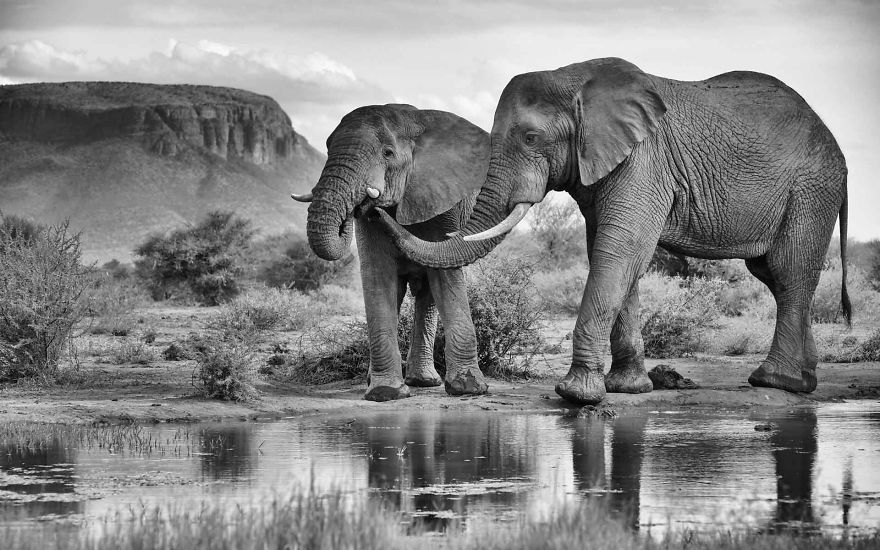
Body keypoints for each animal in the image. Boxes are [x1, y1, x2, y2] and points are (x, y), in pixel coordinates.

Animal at [291, 104, 490, 401]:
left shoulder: (444, 203)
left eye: (388, 153)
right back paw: (382, 380)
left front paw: (469, 389)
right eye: (326, 147)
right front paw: (386, 392)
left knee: (429, 290)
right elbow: (378, 276)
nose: (368, 206)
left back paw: (424, 382)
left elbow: (446, 278)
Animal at [377, 57, 850, 405]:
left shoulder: (645, 159)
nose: (375, 201)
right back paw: (804, 380)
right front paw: (629, 389)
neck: (574, 79)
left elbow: (619, 250)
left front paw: (577, 395)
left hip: (812, 188)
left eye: (531, 138)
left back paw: (774, 381)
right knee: (772, 274)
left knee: (789, 272)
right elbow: (616, 255)